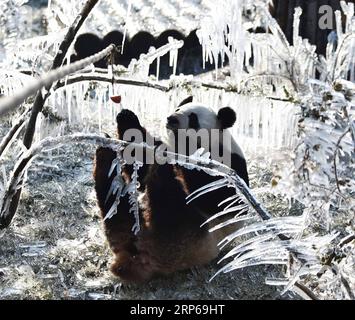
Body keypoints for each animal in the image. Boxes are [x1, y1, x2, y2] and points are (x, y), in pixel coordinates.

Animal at [94, 96, 250, 282]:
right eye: (177, 109)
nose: (171, 119)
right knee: (115, 205)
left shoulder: (230, 164)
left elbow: (218, 199)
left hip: (188, 233)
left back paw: (161, 170)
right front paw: (127, 117)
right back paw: (105, 153)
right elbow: (140, 169)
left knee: (168, 199)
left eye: (193, 118)